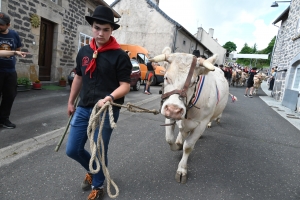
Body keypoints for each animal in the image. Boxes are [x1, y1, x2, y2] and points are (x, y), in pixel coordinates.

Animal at [151, 47, 229, 184]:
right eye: (166, 77)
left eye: (193, 82)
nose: (174, 110)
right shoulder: (168, 113)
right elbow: (169, 139)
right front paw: (177, 146)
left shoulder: (201, 123)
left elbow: (188, 146)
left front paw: (182, 170)